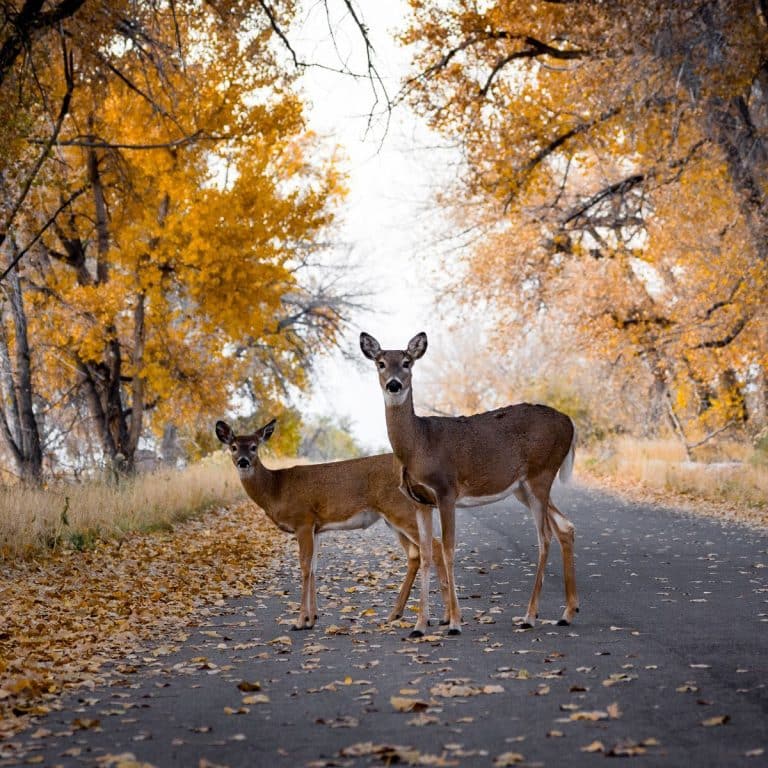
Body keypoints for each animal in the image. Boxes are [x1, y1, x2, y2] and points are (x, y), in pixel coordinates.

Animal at [215, 418, 449, 633]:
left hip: (402, 511)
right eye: (233, 447)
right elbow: (313, 568)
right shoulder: (316, 527)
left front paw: (300, 621)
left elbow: (304, 566)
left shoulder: (303, 520)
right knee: (414, 554)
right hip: (392, 518)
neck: (276, 489)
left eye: (254, 446)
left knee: (434, 548)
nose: (243, 461)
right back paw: (395, 614)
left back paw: (444, 618)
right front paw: (312, 619)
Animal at [360, 331, 578, 638]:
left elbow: (449, 549)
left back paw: (530, 616)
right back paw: (567, 613)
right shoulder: (420, 501)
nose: (394, 384)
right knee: (565, 527)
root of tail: (570, 423)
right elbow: (426, 553)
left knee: (544, 537)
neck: (419, 445)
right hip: (522, 487)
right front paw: (419, 626)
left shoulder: (446, 491)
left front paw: (454, 622)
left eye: (407, 362)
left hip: (541, 473)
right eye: (380, 363)